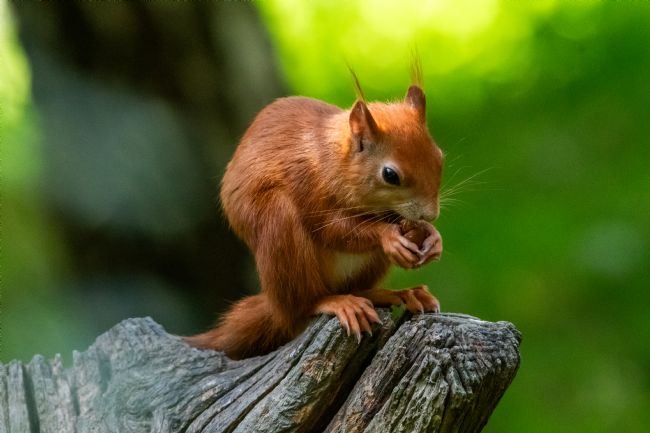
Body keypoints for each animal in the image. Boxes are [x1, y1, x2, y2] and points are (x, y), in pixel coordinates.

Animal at [186, 73, 444, 360]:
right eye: (390, 175)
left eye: (439, 159)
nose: (431, 215)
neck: (333, 158)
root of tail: (275, 307)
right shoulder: (306, 182)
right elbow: (332, 229)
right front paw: (388, 236)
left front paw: (431, 237)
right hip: (279, 226)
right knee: (300, 310)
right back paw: (334, 302)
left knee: (358, 289)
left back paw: (398, 293)